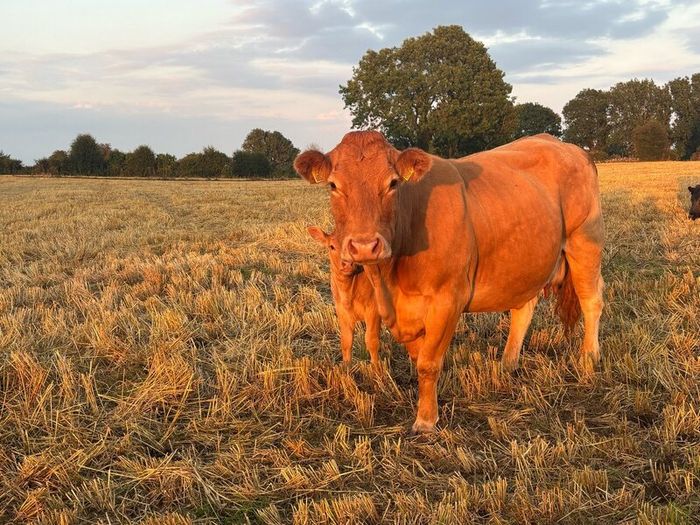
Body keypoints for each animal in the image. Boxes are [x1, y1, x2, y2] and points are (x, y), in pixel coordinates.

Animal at [308, 227, 381, 365]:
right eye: (331, 246)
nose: (347, 264)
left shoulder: (373, 310)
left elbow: (372, 341)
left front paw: (376, 368)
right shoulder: (341, 311)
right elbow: (346, 341)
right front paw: (346, 367)